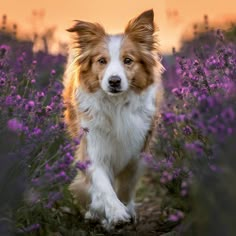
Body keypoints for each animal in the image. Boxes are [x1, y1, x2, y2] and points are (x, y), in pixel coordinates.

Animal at [61, 9, 163, 229]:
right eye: (102, 61)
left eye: (128, 60)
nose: (114, 81)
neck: (116, 105)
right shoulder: (93, 144)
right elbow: (102, 184)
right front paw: (115, 213)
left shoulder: (137, 149)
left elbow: (126, 185)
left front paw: (126, 210)